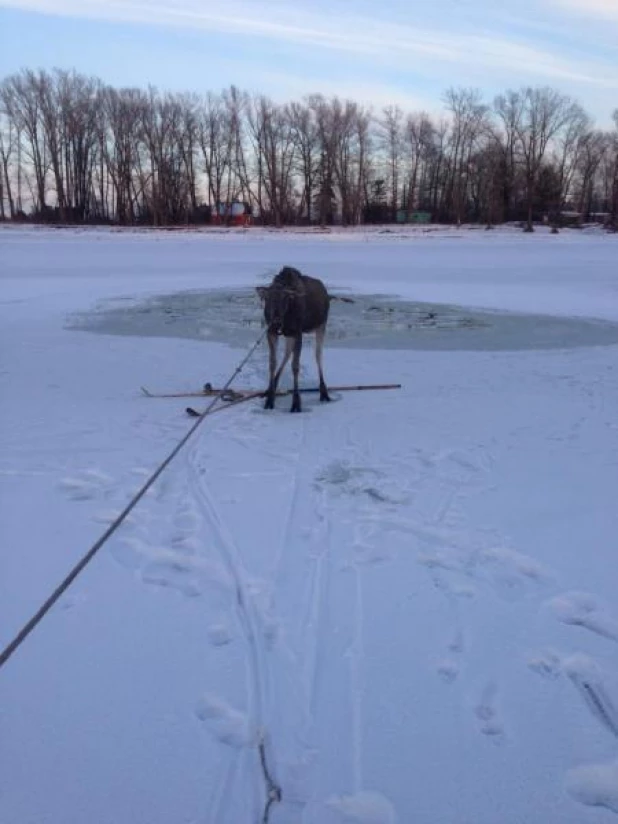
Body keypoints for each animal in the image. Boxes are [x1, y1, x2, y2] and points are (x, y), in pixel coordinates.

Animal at [255, 268, 332, 412]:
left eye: (285, 299)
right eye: (268, 299)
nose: (276, 321)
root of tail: (327, 294)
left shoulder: (297, 333)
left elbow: (295, 366)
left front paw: (296, 403)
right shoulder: (271, 332)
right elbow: (272, 362)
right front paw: (270, 399)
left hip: (321, 325)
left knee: (318, 355)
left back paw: (324, 392)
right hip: (290, 335)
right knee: (287, 354)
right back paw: (271, 387)